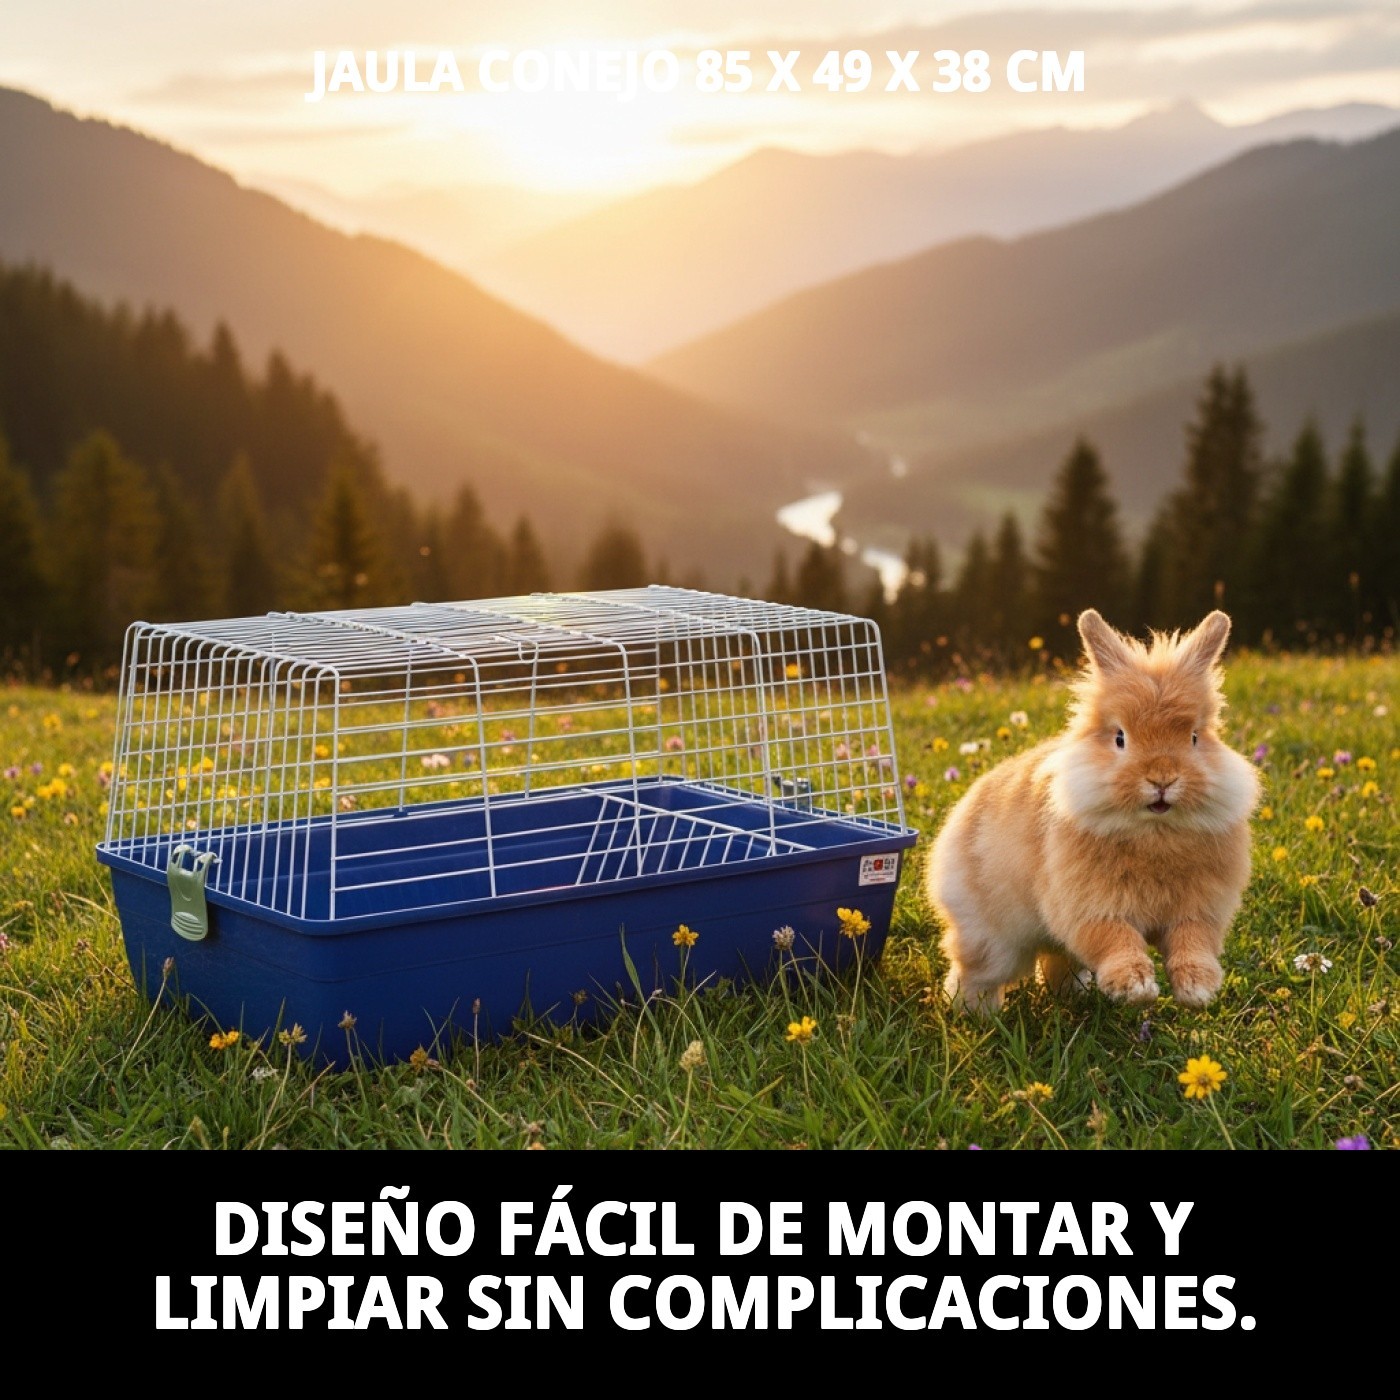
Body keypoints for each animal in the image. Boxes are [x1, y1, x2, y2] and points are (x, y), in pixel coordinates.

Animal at [926, 608, 1260, 1014]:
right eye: (1120, 738)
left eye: (1194, 737)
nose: (1162, 779)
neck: (1154, 831)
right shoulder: (1090, 907)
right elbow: (1114, 938)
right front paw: (1136, 988)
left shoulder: (1197, 913)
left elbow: (1192, 944)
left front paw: (1198, 991)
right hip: (991, 941)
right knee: (974, 973)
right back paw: (977, 1015)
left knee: (1056, 962)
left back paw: (1074, 996)